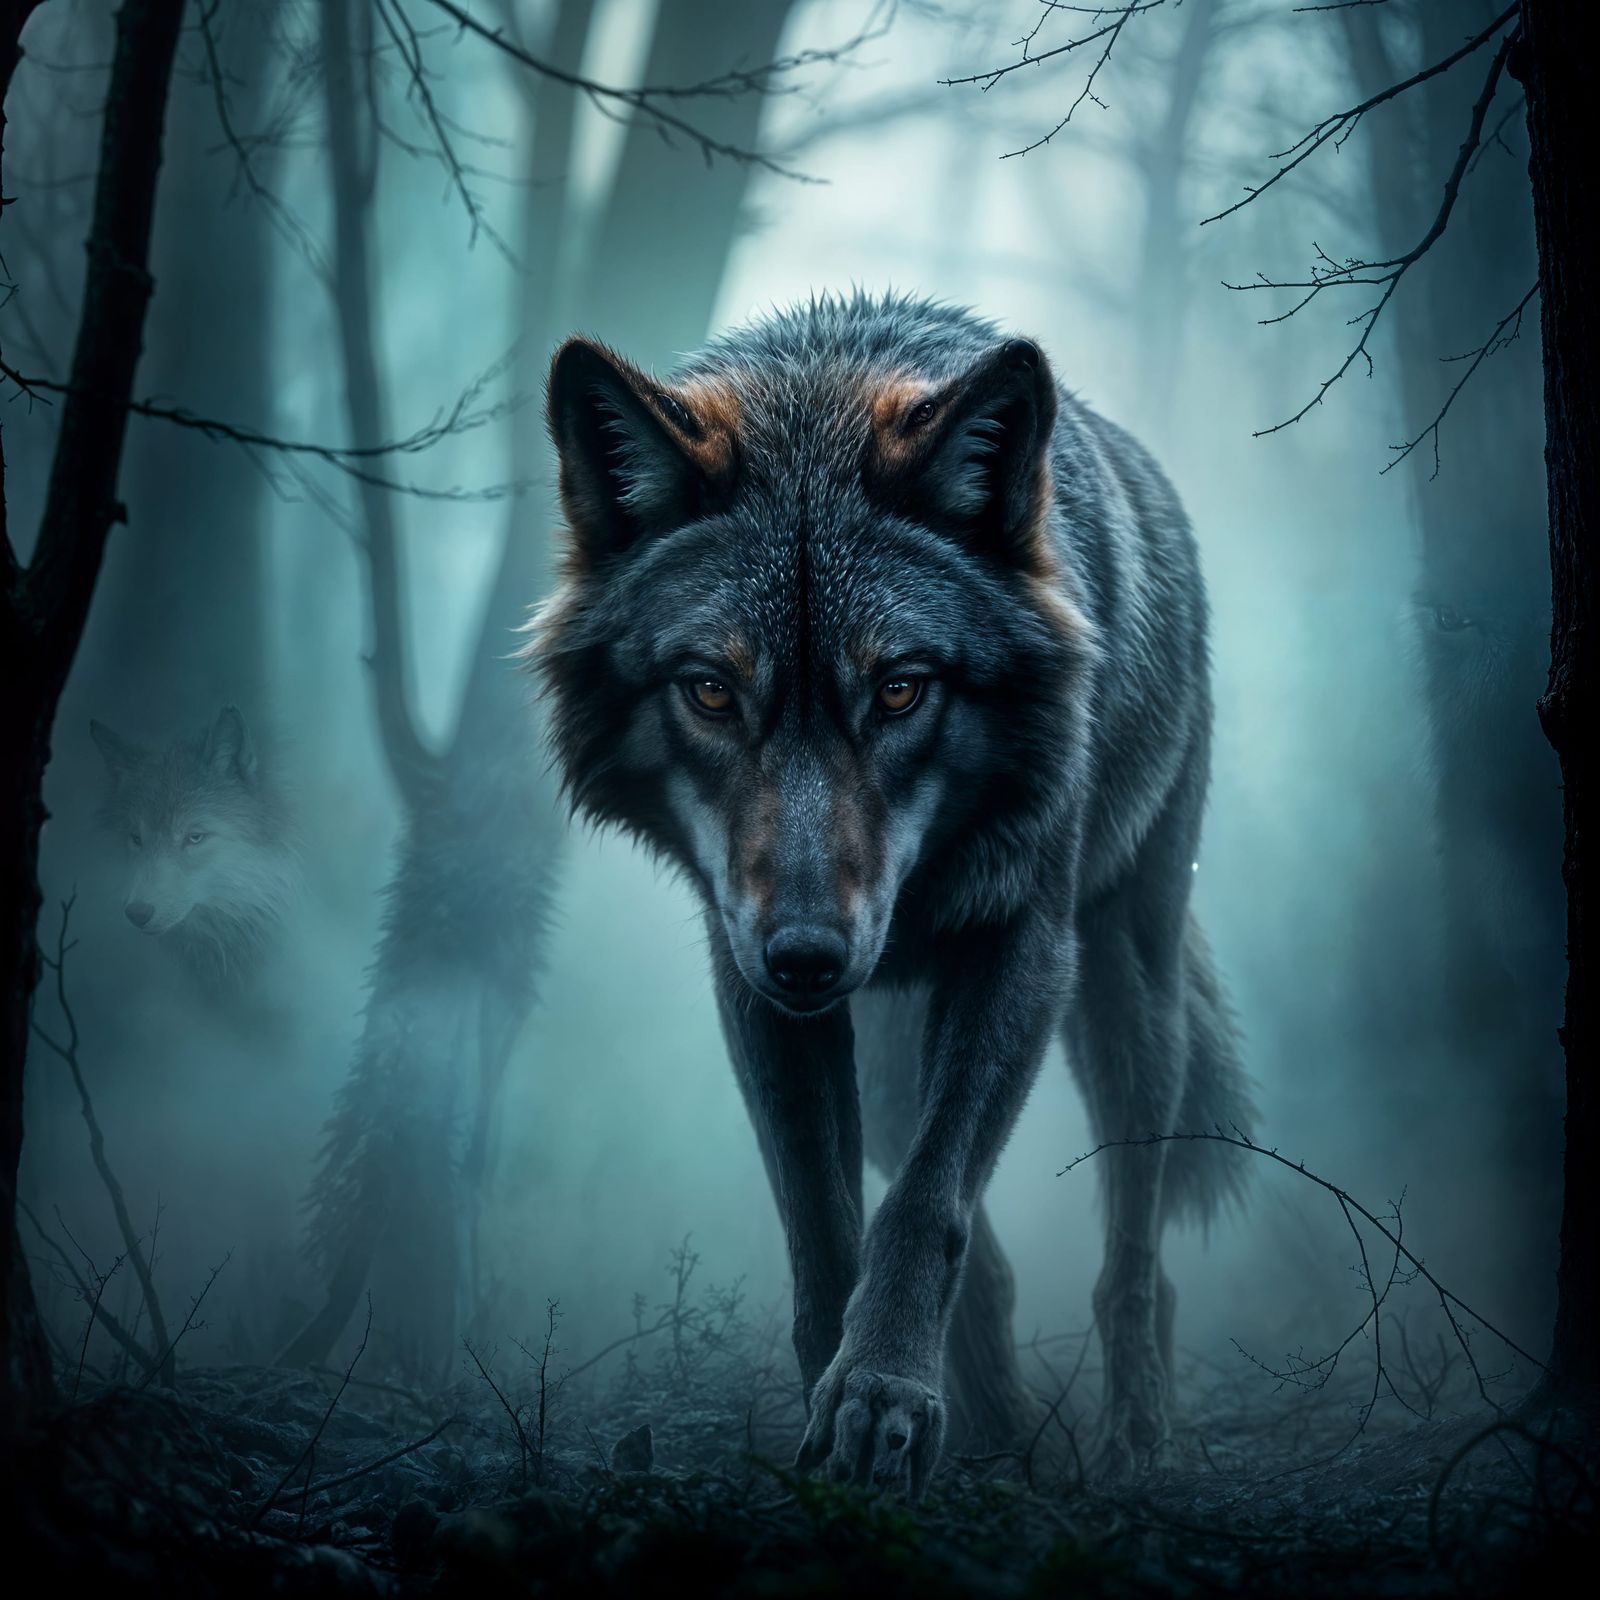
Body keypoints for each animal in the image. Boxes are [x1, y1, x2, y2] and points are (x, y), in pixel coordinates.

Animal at [531, 293, 1253, 1495]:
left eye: (901, 688)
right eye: (711, 691)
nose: (807, 955)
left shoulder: (1020, 950)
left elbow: (925, 1205)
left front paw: (880, 1397)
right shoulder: (753, 984)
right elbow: (827, 1224)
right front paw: (847, 1419)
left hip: (1124, 991)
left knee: (1135, 1254)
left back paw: (1132, 1442)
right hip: (885, 1046)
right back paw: (1000, 1438)